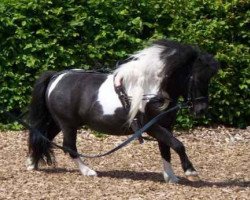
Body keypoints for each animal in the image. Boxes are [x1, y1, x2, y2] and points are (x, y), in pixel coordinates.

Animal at [26, 39, 218, 184]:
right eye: (195, 78)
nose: (201, 109)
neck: (151, 91)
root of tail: (56, 76)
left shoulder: (165, 126)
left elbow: (166, 149)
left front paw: (170, 177)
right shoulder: (151, 127)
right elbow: (178, 144)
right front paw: (190, 171)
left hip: (59, 123)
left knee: (43, 137)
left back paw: (32, 163)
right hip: (68, 124)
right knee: (69, 146)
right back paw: (88, 171)